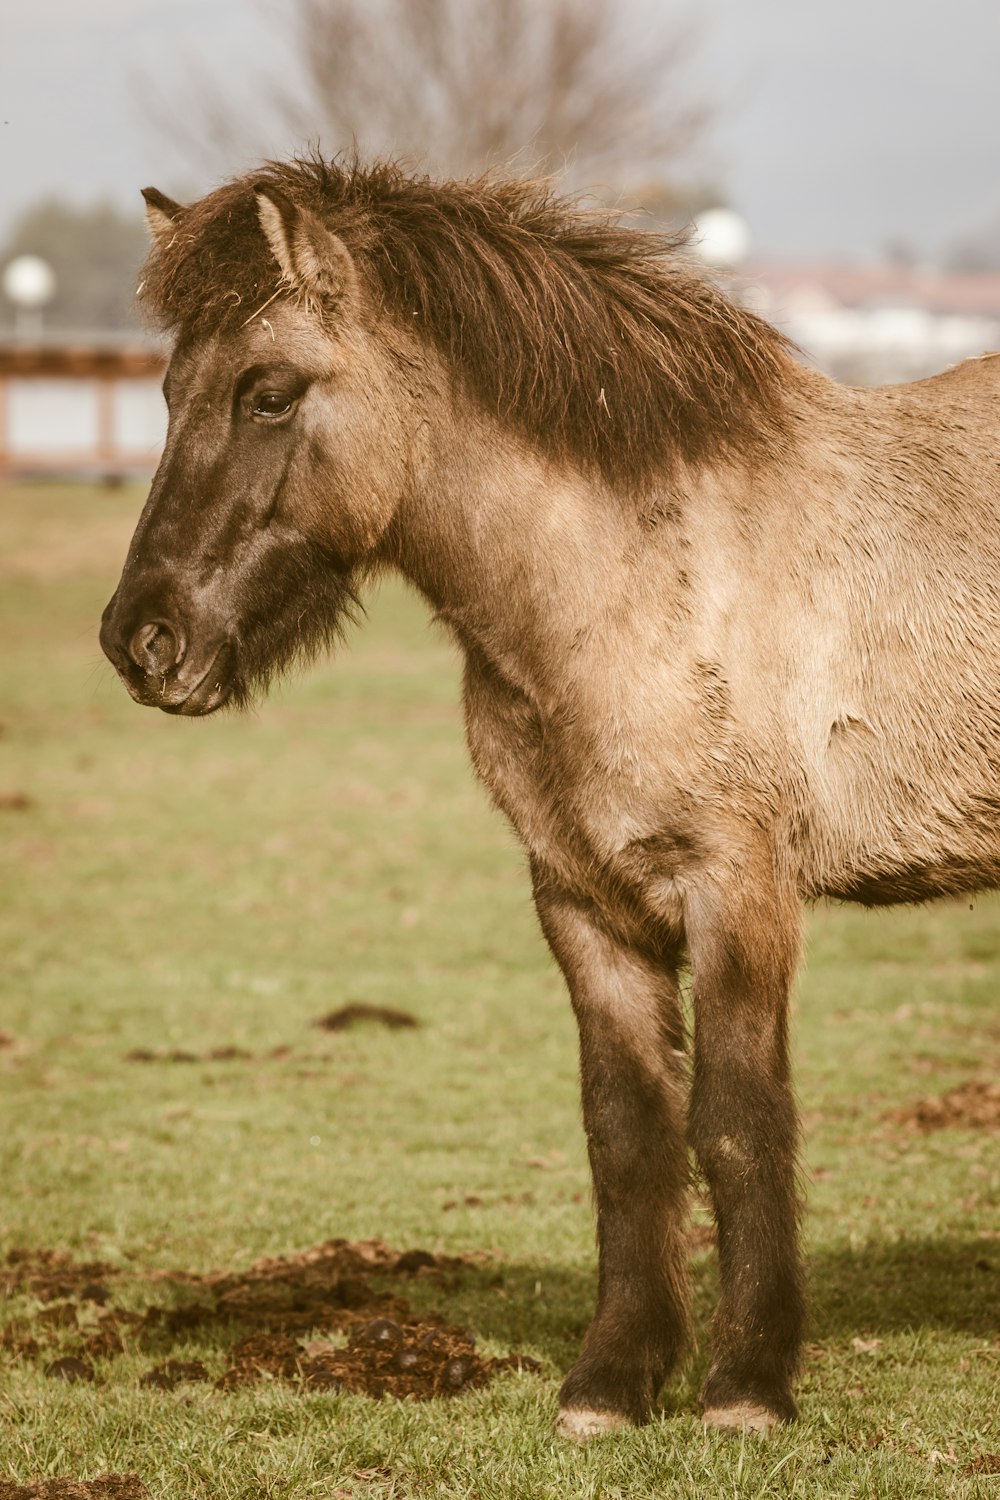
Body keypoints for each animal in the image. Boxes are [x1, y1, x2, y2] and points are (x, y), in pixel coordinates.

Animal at [99, 155, 1000, 1440]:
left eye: (266, 393)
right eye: (171, 392)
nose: (143, 640)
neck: (629, 583)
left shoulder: (739, 889)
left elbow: (737, 1120)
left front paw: (747, 1384)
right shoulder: (582, 900)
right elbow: (626, 1132)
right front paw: (614, 1380)